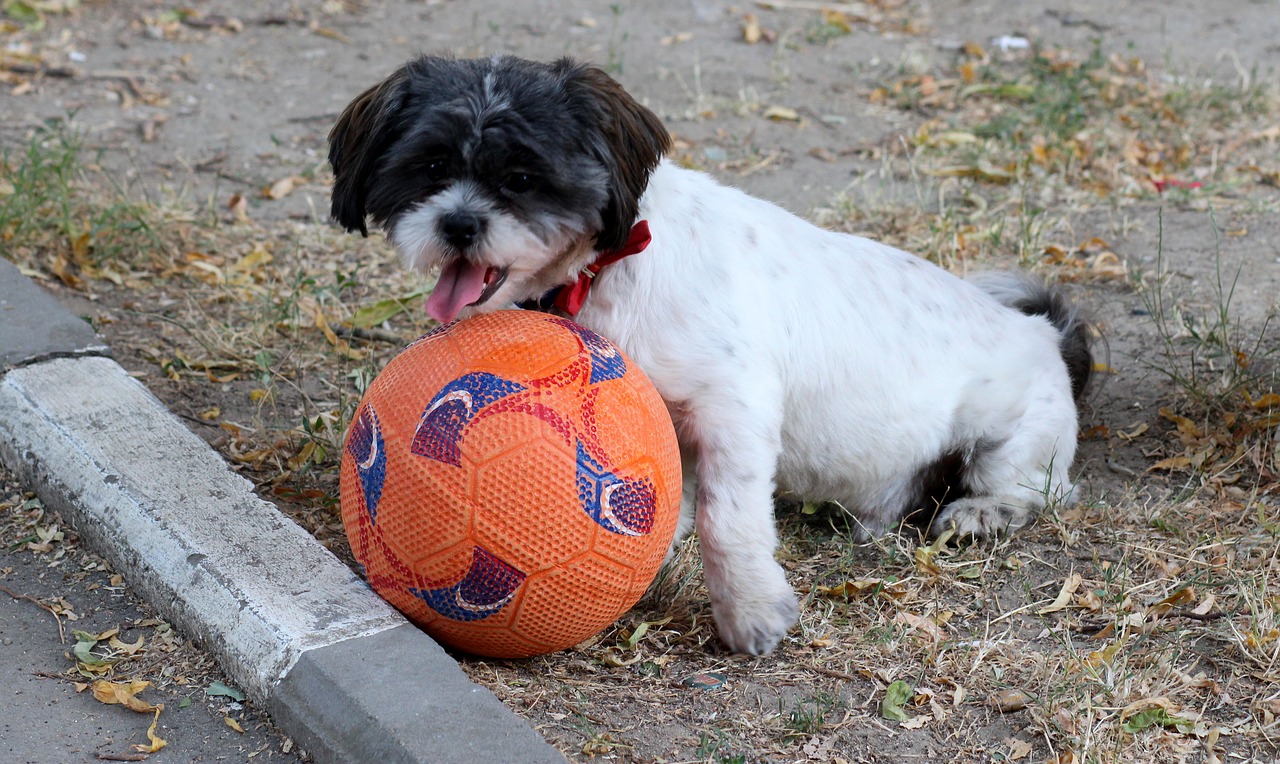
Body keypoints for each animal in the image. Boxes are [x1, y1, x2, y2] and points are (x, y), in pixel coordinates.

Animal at [327, 56, 1090, 655]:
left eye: (520, 176)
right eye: (430, 165)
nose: (458, 223)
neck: (604, 270)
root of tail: (1042, 332)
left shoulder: (733, 408)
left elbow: (728, 520)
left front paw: (749, 609)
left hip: (1010, 438)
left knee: (1036, 490)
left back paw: (981, 513)